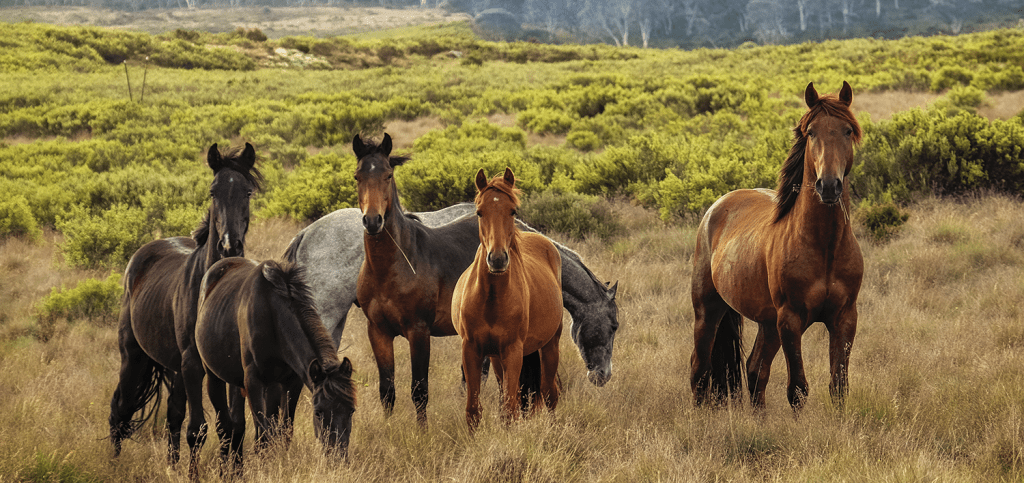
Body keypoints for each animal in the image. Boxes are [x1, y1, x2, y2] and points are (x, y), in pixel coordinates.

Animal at [194, 256, 356, 470]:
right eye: (318, 413)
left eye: (351, 410)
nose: (339, 459)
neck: (273, 316)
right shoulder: (253, 382)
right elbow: (263, 436)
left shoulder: (291, 382)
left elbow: (284, 431)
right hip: (214, 378)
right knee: (224, 428)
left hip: (253, 384)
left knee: (238, 425)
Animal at [454, 168, 565, 429]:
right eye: (479, 211)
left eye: (512, 210)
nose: (497, 259)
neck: (491, 300)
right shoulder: (471, 350)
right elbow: (473, 410)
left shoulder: (513, 351)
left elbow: (509, 410)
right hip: (497, 358)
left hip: (549, 345)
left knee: (549, 393)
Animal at [688, 81, 864, 407]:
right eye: (811, 132)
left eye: (847, 131)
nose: (828, 186)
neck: (825, 247)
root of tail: (716, 207)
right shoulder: (791, 321)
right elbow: (797, 389)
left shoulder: (845, 318)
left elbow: (838, 386)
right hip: (708, 311)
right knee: (700, 369)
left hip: (767, 323)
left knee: (755, 370)